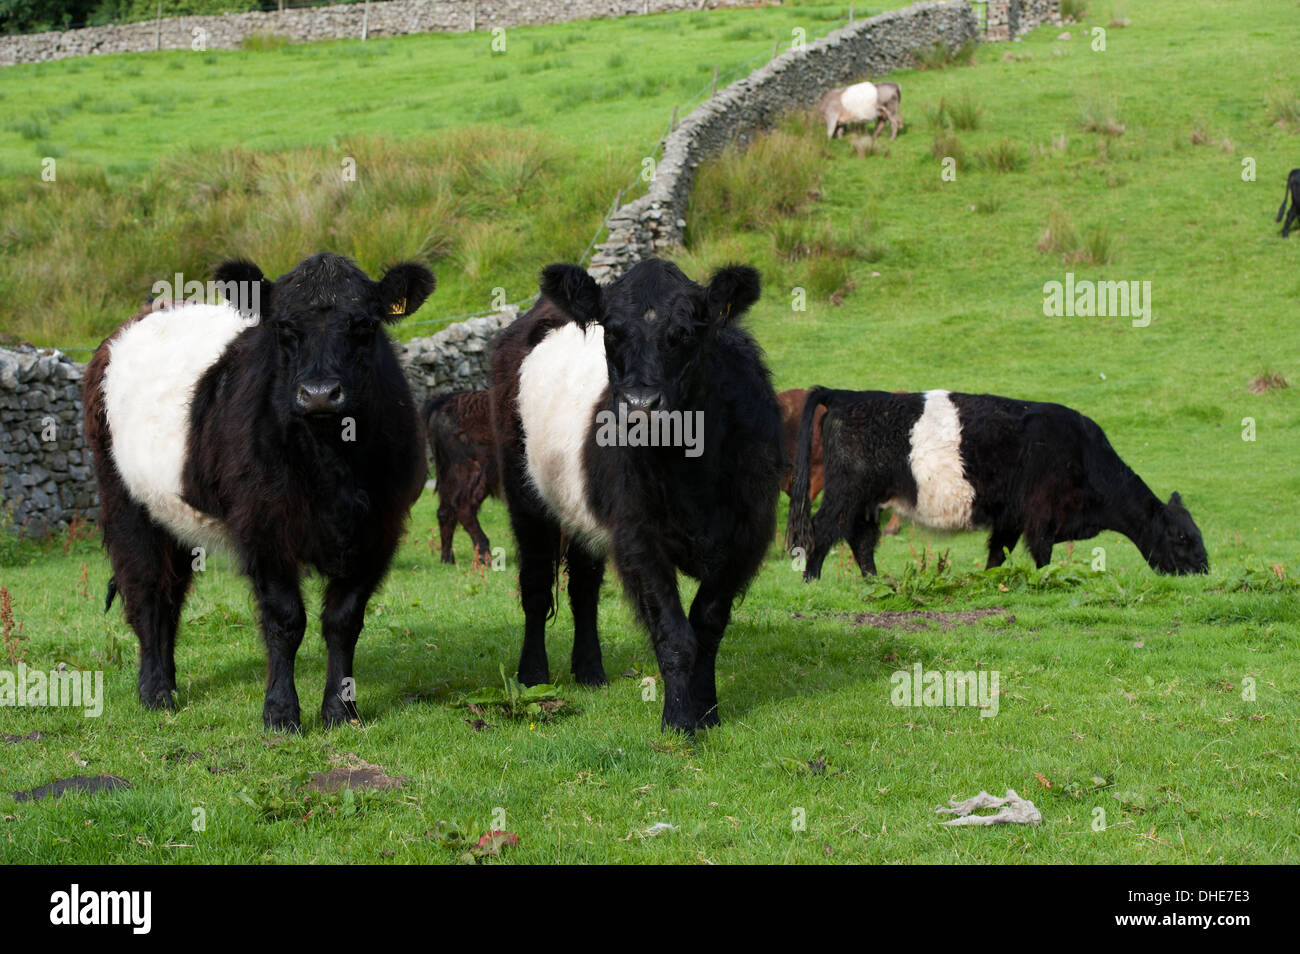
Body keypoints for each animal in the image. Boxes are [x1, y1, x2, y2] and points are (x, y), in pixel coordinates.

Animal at [83, 254, 434, 733]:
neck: (332, 462)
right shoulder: (263, 526)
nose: (319, 394)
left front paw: (340, 712)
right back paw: (155, 692)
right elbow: (286, 620)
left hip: (172, 513)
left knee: (172, 594)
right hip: (126, 502)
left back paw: (170, 683)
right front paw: (281, 714)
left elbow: (343, 621)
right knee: (148, 592)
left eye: (364, 324)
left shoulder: (379, 528)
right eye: (283, 327)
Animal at [428, 389, 504, 566]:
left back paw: (447, 559)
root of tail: (444, 402)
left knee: (445, 511)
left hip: (450, 474)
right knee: (463, 507)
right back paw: (486, 557)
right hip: (476, 472)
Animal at [491, 257, 780, 738]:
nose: (641, 406)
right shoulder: (638, 535)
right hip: (524, 493)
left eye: (686, 331)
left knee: (583, 586)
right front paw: (679, 722)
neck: (690, 468)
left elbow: (708, 625)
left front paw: (708, 712)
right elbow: (674, 634)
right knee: (535, 585)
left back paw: (590, 671)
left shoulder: (747, 536)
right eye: (611, 331)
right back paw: (532, 675)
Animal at [785, 389, 1211, 582]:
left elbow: (997, 556)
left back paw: (874, 581)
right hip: (846, 493)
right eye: (1181, 537)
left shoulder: (1011, 518)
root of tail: (846, 395)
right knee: (821, 531)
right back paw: (812, 581)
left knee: (860, 540)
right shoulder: (1041, 516)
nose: (1205, 569)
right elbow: (1041, 556)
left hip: (868, 501)